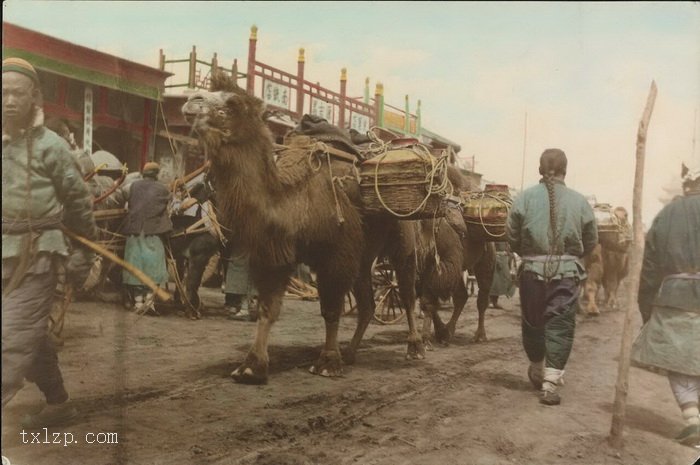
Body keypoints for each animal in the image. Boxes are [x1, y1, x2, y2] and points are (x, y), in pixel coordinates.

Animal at [182, 73, 422, 384]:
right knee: (368, 302)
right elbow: (268, 308)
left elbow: (330, 309)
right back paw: (351, 353)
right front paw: (251, 367)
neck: (292, 200)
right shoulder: (275, 253)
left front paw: (327, 363)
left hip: (403, 236)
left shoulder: (336, 252)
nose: (191, 100)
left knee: (406, 290)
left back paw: (415, 347)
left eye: (233, 104)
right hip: (364, 252)